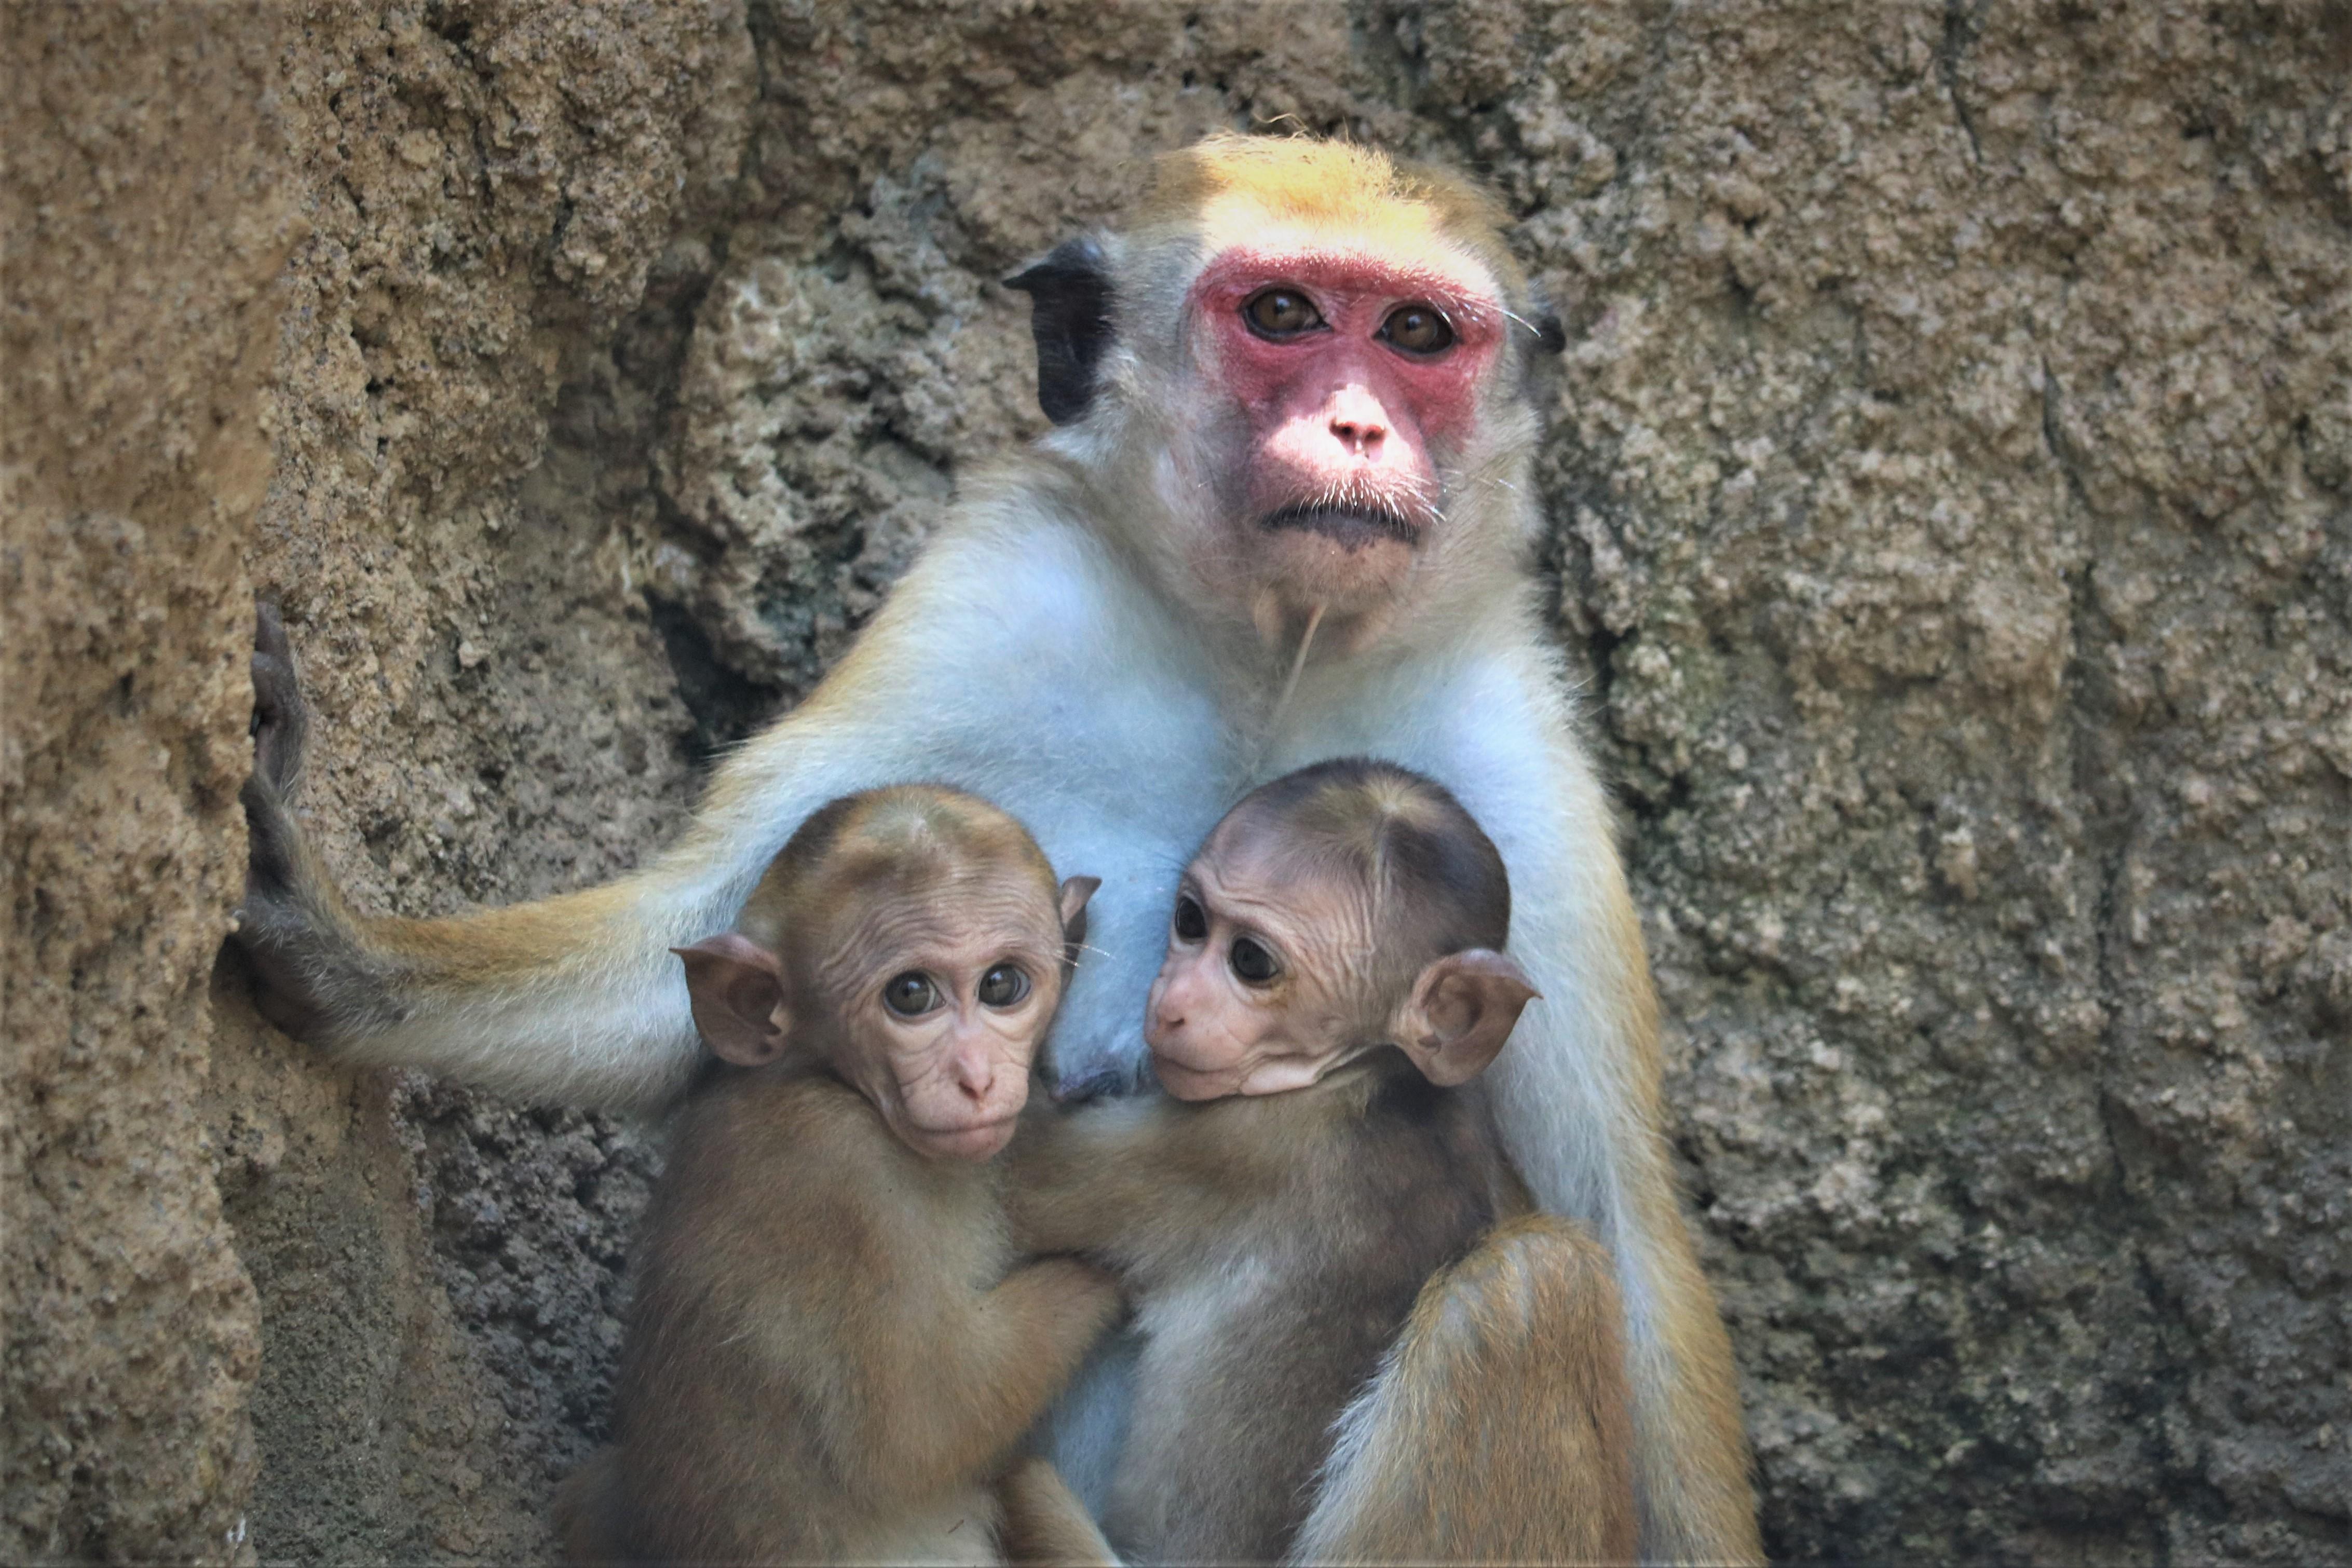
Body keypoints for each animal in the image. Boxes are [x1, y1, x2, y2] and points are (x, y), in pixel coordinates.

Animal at [560, 785, 1129, 1568]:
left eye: (1002, 984)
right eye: (911, 995)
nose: (977, 1077)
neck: (825, 1077)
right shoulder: (839, 1173)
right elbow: (925, 1421)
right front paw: (1108, 1270)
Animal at [1011, 752, 1637, 1561]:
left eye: (1250, 961)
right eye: (1190, 922)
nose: (1172, 1003)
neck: (1365, 1069)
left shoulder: (1237, 1148)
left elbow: (1011, 1175)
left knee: (1528, 1279)